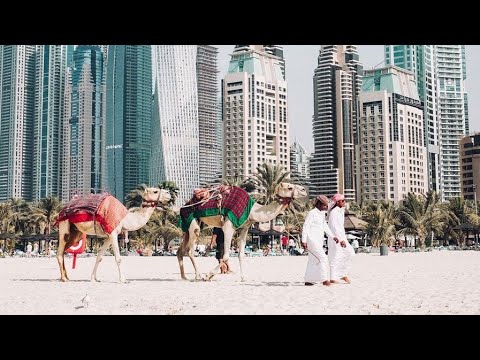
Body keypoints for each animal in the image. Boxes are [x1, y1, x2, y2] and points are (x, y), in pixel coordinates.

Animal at [177, 183, 308, 282]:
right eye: (289, 187)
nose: (304, 190)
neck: (251, 211)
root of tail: (183, 206)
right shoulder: (228, 227)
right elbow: (226, 256)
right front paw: (208, 275)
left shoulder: (245, 228)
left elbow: (241, 254)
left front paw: (243, 278)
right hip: (193, 223)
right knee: (190, 251)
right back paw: (198, 275)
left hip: (191, 225)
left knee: (180, 250)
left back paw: (184, 277)